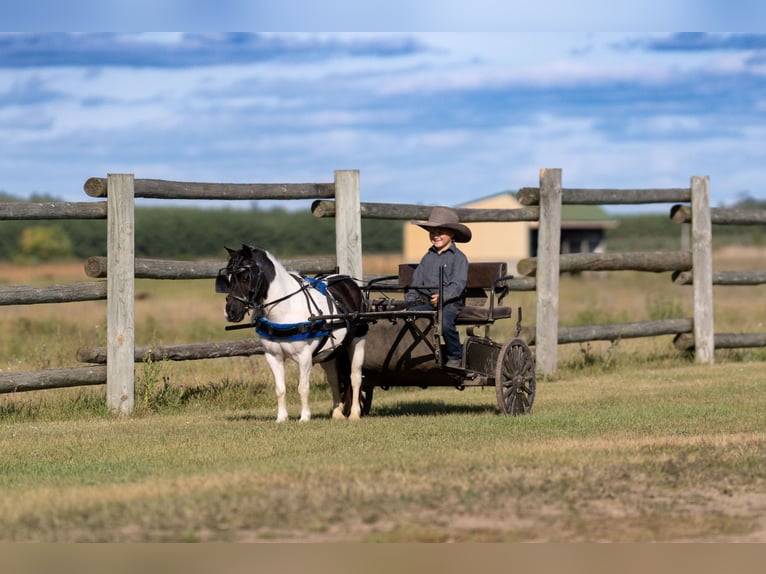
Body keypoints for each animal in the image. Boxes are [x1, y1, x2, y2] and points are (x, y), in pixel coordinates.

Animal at [216, 244, 368, 422]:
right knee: (334, 380)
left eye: (245, 277)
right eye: (228, 278)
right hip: (330, 353)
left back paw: (355, 414)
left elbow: (303, 388)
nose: (231, 312)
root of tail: (347, 280)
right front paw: (281, 418)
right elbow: (280, 389)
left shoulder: (304, 356)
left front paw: (304, 417)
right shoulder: (273, 357)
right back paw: (337, 413)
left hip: (358, 342)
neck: (286, 309)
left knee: (355, 377)